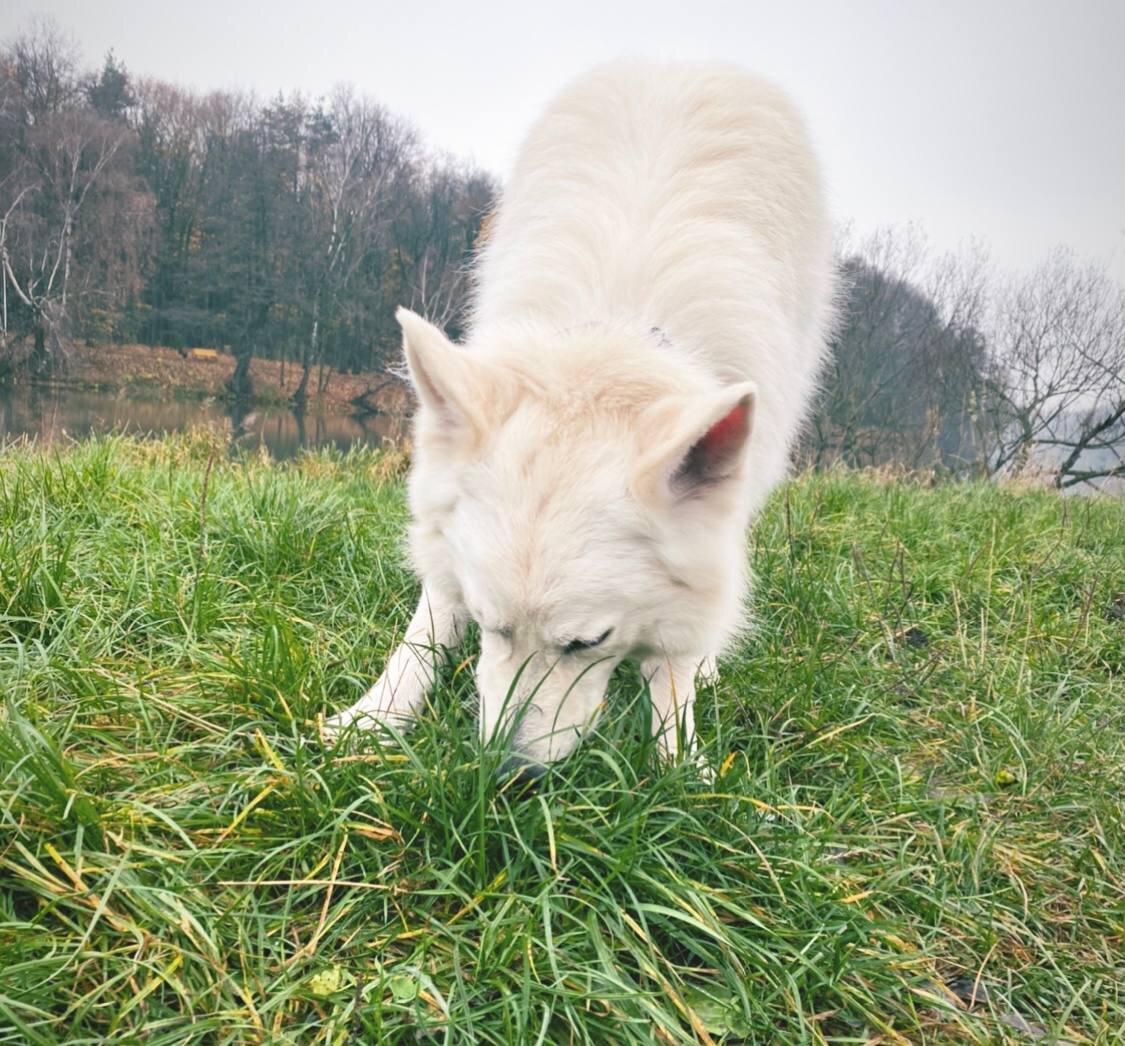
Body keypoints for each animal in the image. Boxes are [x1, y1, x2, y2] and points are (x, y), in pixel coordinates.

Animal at [326, 63, 837, 764]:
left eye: (588, 642)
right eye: (489, 625)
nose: (509, 771)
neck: (613, 334)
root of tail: (687, 61)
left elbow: (674, 667)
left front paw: (683, 760)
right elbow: (428, 623)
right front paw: (373, 718)